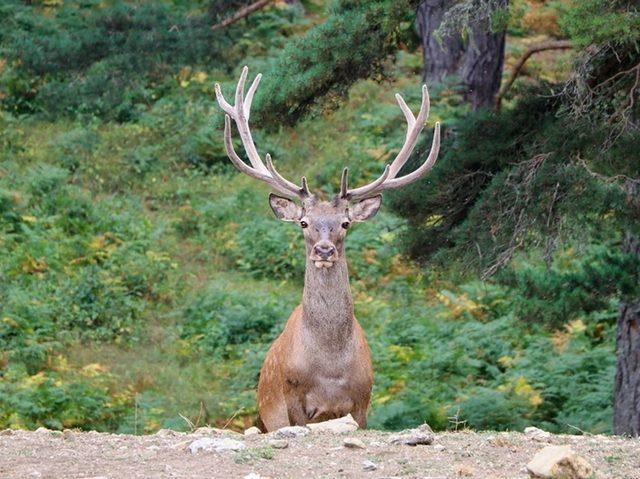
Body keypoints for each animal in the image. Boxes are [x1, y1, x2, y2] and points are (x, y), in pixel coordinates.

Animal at [215, 66, 440, 432]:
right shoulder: (292, 398)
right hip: (264, 414)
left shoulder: (363, 399)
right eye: (304, 223)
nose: (323, 250)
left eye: (345, 223)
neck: (331, 369)